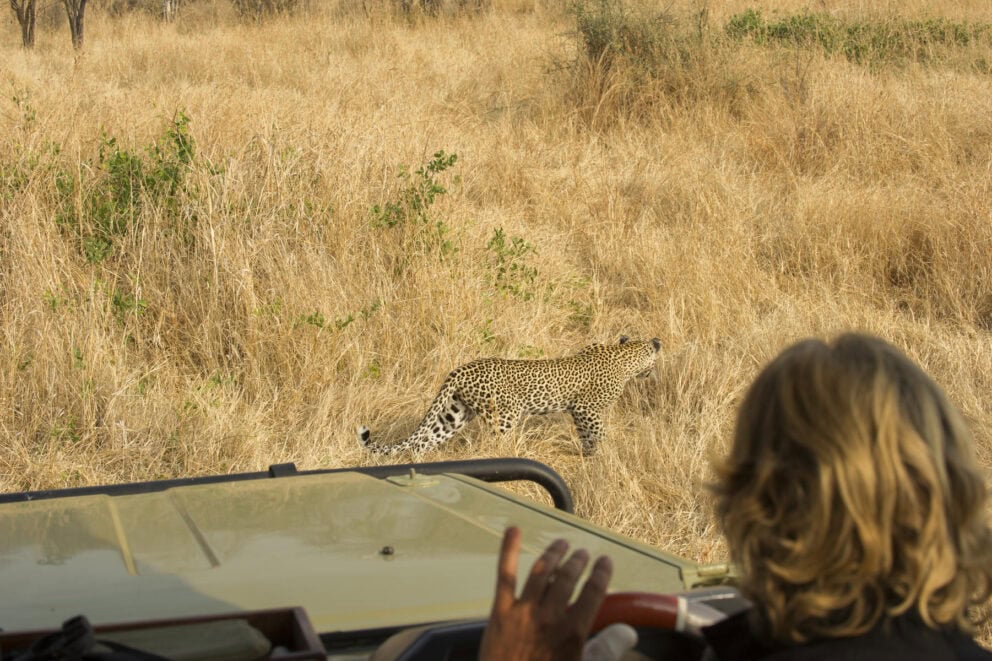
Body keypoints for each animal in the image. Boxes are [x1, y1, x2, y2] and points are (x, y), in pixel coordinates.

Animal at [357, 336, 661, 456]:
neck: (625, 354)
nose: (651, 374)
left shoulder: (578, 412)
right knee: (494, 443)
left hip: (455, 414)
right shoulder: (587, 409)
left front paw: (590, 455)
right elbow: (599, 432)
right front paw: (608, 453)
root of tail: (460, 369)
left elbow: (587, 435)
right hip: (504, 416)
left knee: (424, 441)